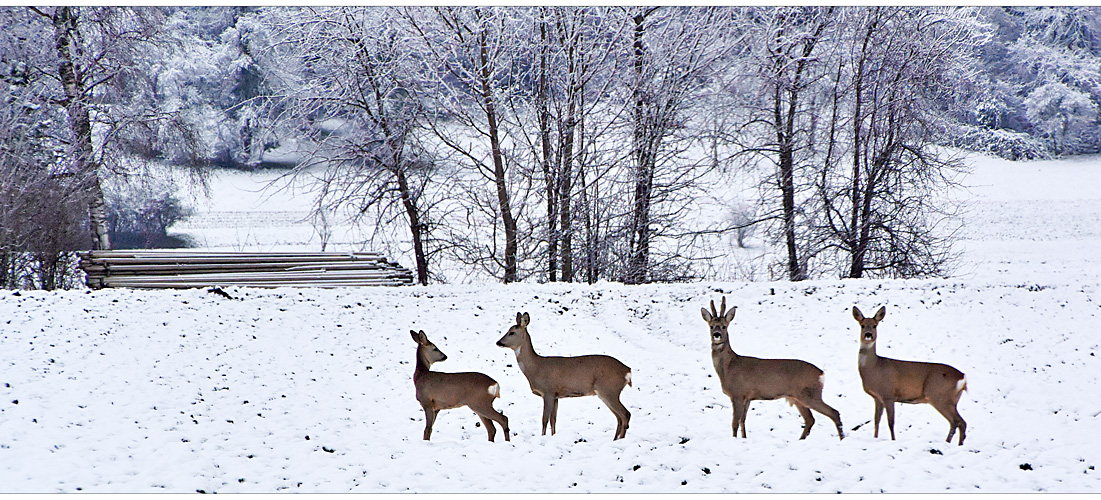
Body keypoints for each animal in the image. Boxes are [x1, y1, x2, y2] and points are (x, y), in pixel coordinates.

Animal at [495, 312, 634, 440]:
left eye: (512, 332)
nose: (498, 342)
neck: (536, 368)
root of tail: (628, 371)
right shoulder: (556, 396)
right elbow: (553, 420)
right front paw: (553, 436)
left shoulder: (548, 392)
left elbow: (544, 419)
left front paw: (542, 437)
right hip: (606, 393)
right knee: (619, 417)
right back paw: (615, 439)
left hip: (609, 390)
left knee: (625, 414)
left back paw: (621, 439)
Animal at [700, 297, 845, 440]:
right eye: (711, 326)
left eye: (724, 326)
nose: (717, 334)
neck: (729, 368)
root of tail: (821, 374)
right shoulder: (747, 397)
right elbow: (743, 421)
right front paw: (744, 439)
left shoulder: (738, 394)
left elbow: (735, 423)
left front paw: (734, 440)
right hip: (798, 398)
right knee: (810, 419)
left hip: (810, 394)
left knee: (834, 412)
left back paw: (841, 439)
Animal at [849, 303, 964, 444]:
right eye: (862, 325)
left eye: (875, 325)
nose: (868, 334)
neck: (874, 368)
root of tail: (962, 377)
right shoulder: (877, 397)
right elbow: (877, 420)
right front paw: (875, 438)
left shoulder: (888, 394)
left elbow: (890, 422)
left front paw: (893, 440)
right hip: (951, 399)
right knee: (960, 422)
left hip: (940, 396)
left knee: (956, 421)